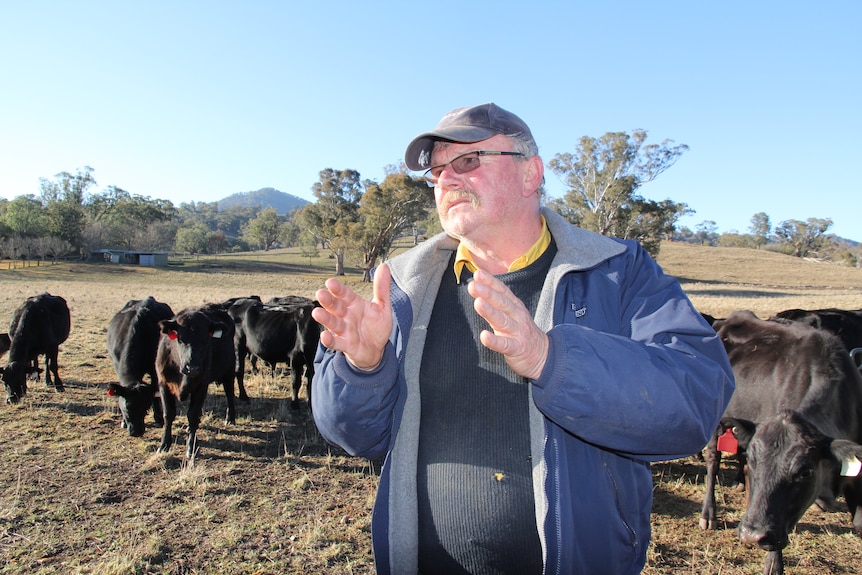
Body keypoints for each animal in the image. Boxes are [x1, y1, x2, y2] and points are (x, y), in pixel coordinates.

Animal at [106, 296, 176, 436]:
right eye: (127, 407)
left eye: (145, 406)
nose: (136, 432)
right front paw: (123, 421)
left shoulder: (155, 369)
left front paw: (158, 418)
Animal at [157, 306, 238, 460]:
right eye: (180, 339)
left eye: (206, 340)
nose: (192, 368)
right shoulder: (164, 384)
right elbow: (168, 414)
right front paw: (164, 445)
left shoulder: (201, 386)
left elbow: (193, 415)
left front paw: (191, 447)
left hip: (229, 371)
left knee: (230, 393)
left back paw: (230, 418)